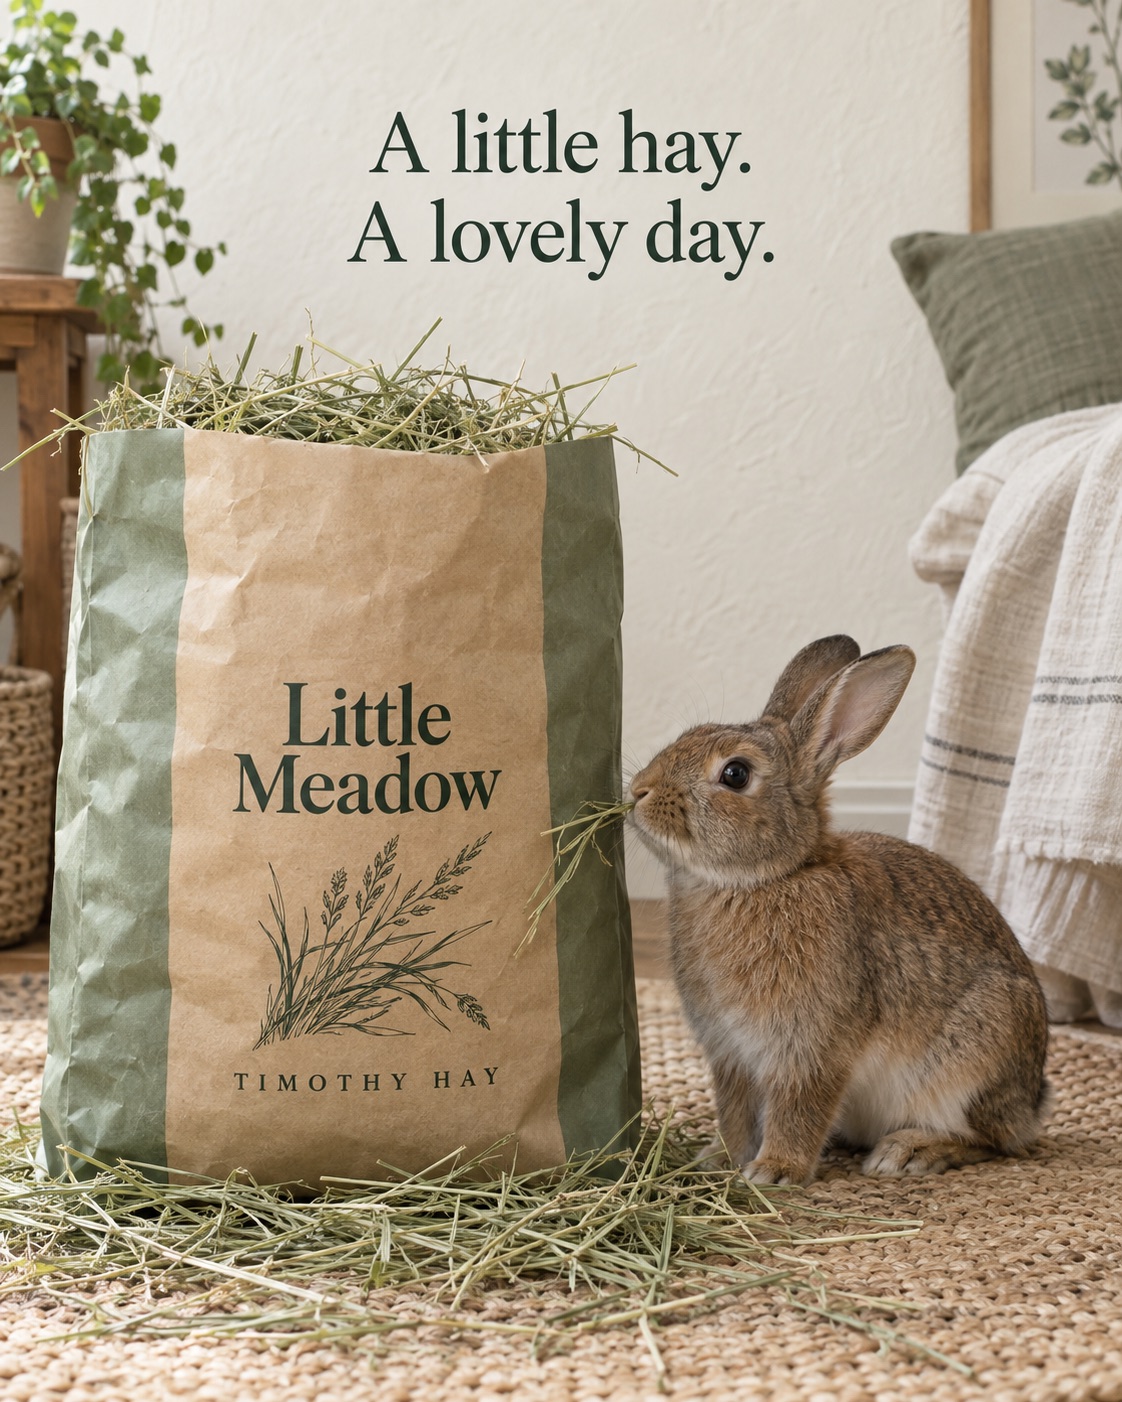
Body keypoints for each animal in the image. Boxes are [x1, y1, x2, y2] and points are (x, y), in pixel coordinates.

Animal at [629, 635, 1050, 1186]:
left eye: (736, 774)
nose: (638, 791)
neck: (770, 876)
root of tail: (1033, 1103)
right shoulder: (730, 1053)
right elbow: (735, 1110)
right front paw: (720, 1159)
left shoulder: (813, 1045)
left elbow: (800, 1105)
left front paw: (775, 1170)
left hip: (971, 1065)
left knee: (991, 1140)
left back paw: (909, 1152)